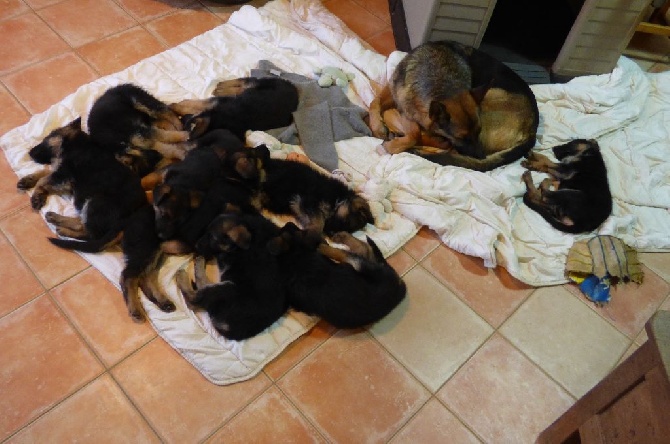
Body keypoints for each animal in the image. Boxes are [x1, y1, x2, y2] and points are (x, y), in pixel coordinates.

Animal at [171, 76, 300, 139]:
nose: (181, 121)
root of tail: (293, 87)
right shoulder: (216, 103)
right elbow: (193, 105)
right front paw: (175, 106)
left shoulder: (215, 105)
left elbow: (194, 105)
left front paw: (175, 106)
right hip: (259, 85)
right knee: (244, 81)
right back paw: (221, 86)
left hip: (255, 87)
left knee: (243, 85)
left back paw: (221, 89)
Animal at [176, 212, 288, 340]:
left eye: (212, 237)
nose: (196, 246)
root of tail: (233, 330)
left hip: (229, 288)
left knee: (194, 299)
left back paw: (186, 272)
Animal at [270, 224, 410, 328]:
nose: (290, 224)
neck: (292, 257)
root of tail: (400, 286)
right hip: (364, 266)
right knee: (363, 249)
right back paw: (338, 238)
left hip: (361, 266)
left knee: (351, 252)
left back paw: (328, 244)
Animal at [370, 40, 540, 172]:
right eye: (461, 137)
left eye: (479, 131)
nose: (481, 157)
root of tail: (532, 130)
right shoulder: (396, 93)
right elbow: (375, 102)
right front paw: (378, 127)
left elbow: (416, 132)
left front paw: (393, 144)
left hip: (490, 98)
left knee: (447, 148)